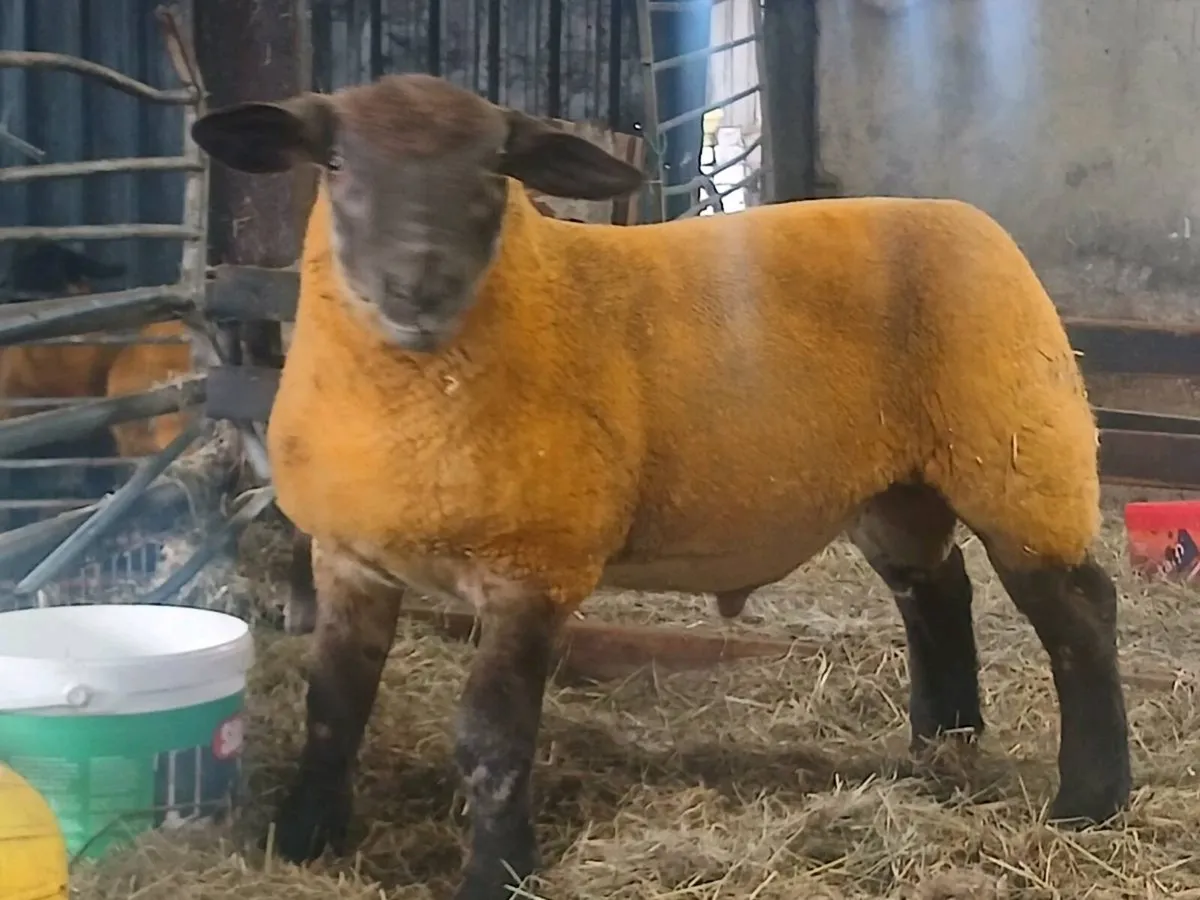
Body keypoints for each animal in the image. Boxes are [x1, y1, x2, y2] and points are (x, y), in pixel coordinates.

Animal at [190, 73, 1131, 900]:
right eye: (337, 162)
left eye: (496, 169)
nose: (417, 288)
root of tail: (967, 218)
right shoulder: (350, 557)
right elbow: (331, 706)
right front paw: (302, 838)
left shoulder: (535, 565)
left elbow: (492, 735)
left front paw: (498, 873)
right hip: (899, 485)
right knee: (936, 592)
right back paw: (941, 750)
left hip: (1020, 452)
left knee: (1080, 614)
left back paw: (1091, 800)